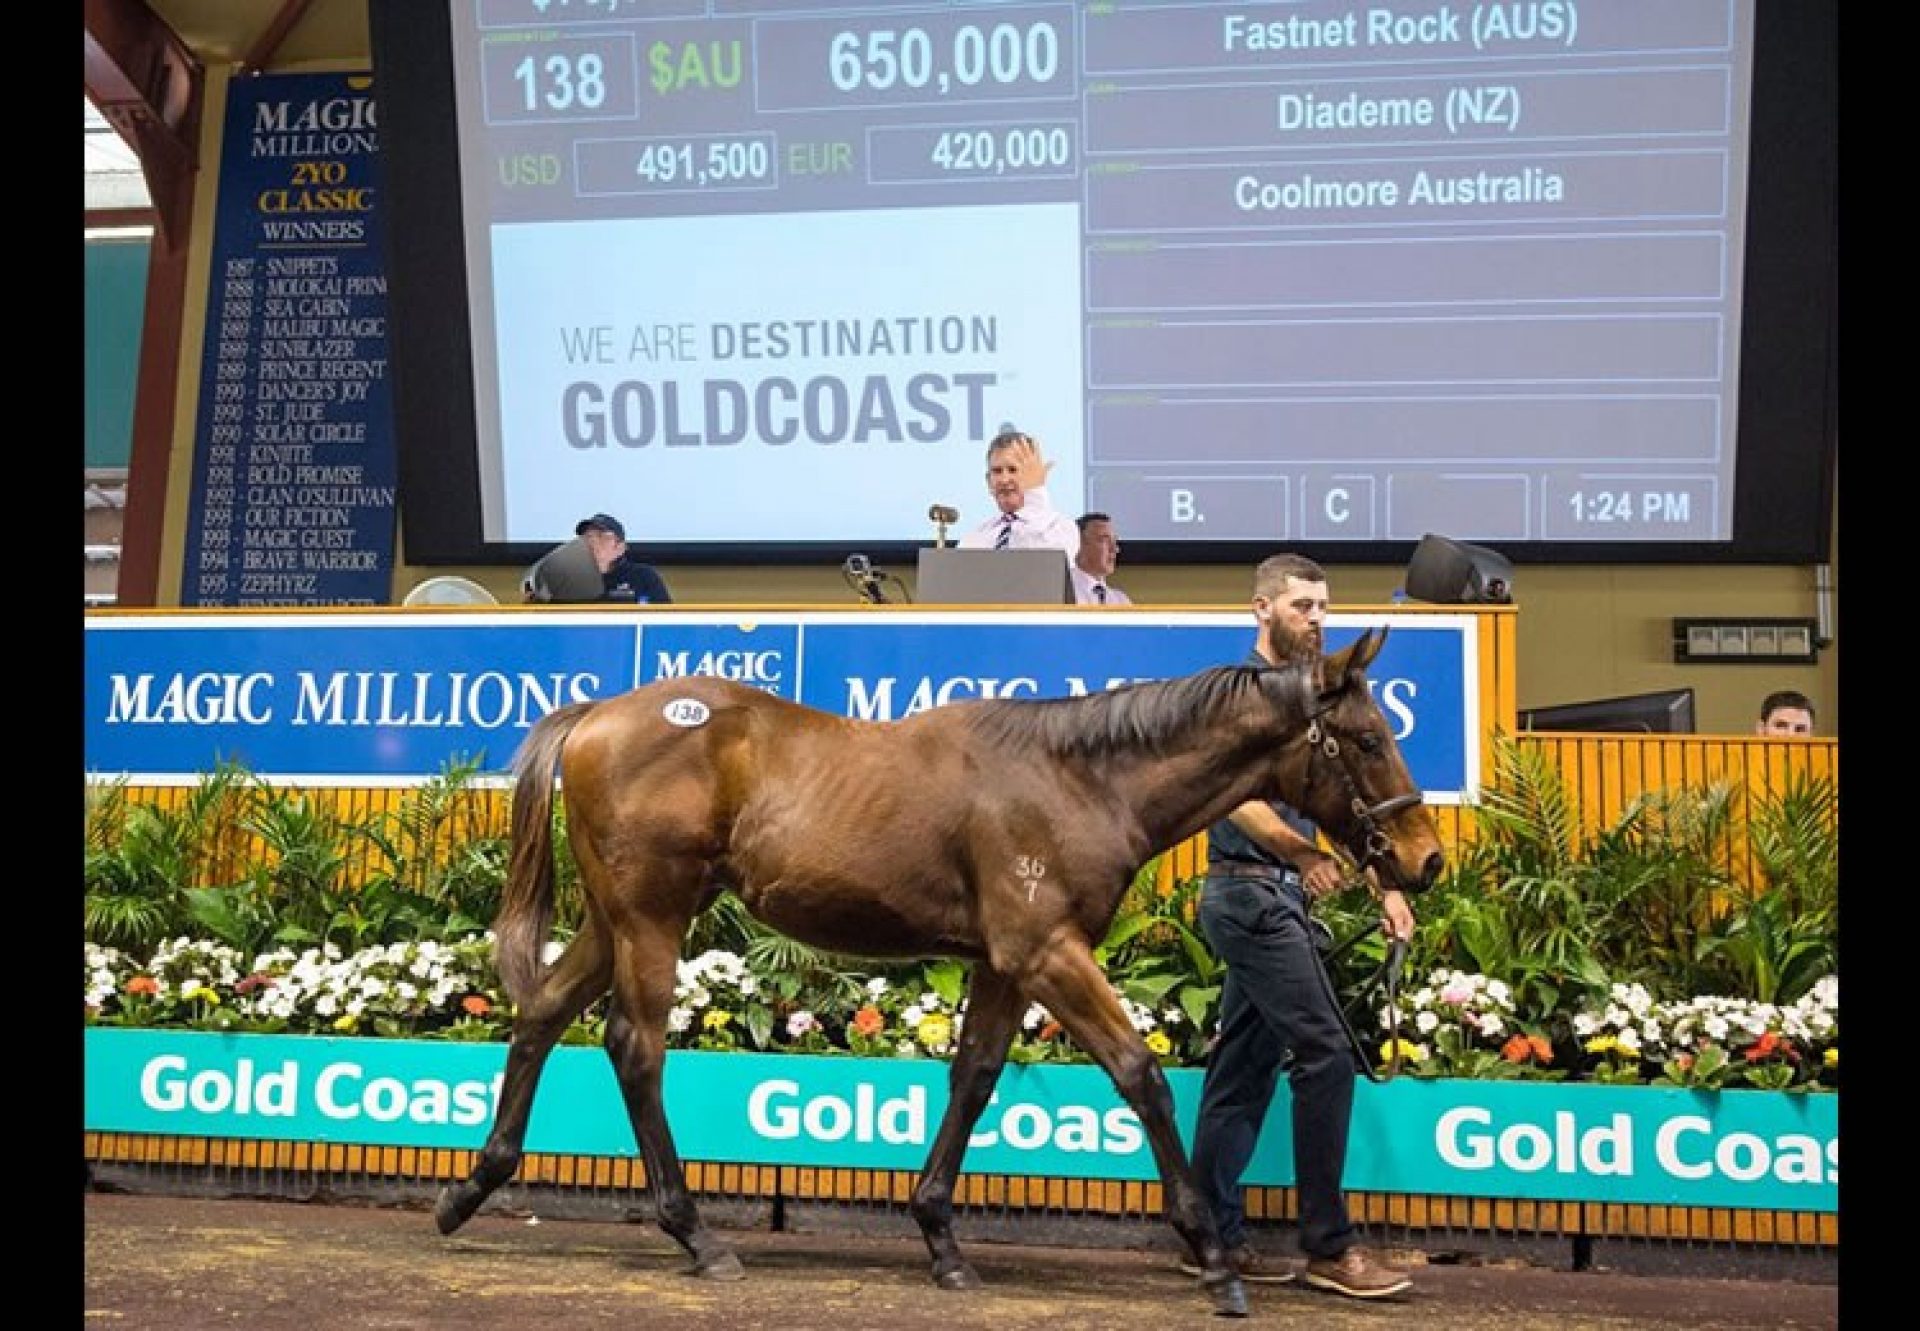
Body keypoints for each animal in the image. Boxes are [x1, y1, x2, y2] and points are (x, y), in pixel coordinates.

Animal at [435, 629, 1443, 1313]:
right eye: (1362, 738)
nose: (1424, 859)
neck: (1078, 777)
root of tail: (597, 716)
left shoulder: (1004, 963)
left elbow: (974, 1078)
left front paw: (941, 1236)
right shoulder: (1047, 952)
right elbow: (1141, 1074)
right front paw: (1216, 1256)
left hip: (616, 920)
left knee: (542, 1012)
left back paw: (470, 1189)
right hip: (650, 916)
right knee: (634, 1046)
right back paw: (696, 1232)